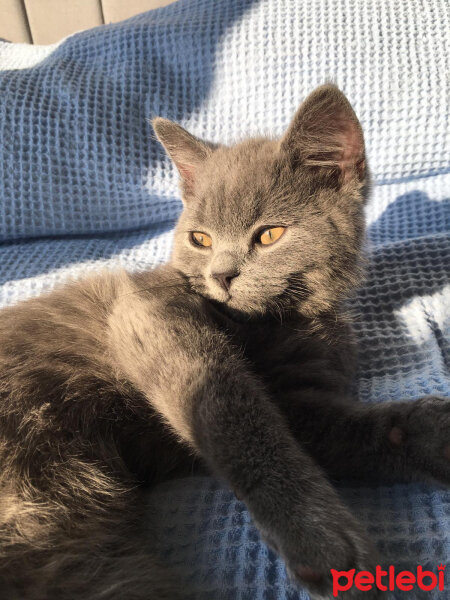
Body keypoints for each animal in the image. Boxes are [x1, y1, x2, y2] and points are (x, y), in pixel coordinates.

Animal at [0, 85, 450, 600]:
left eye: (270, 234)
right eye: (200, 239)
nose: (221, 274)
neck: (276, 323)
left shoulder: (302, 399)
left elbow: (336, 428)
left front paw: (436, 432)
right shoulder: (147, 310)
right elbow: (231, 409)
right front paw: (318, 536)